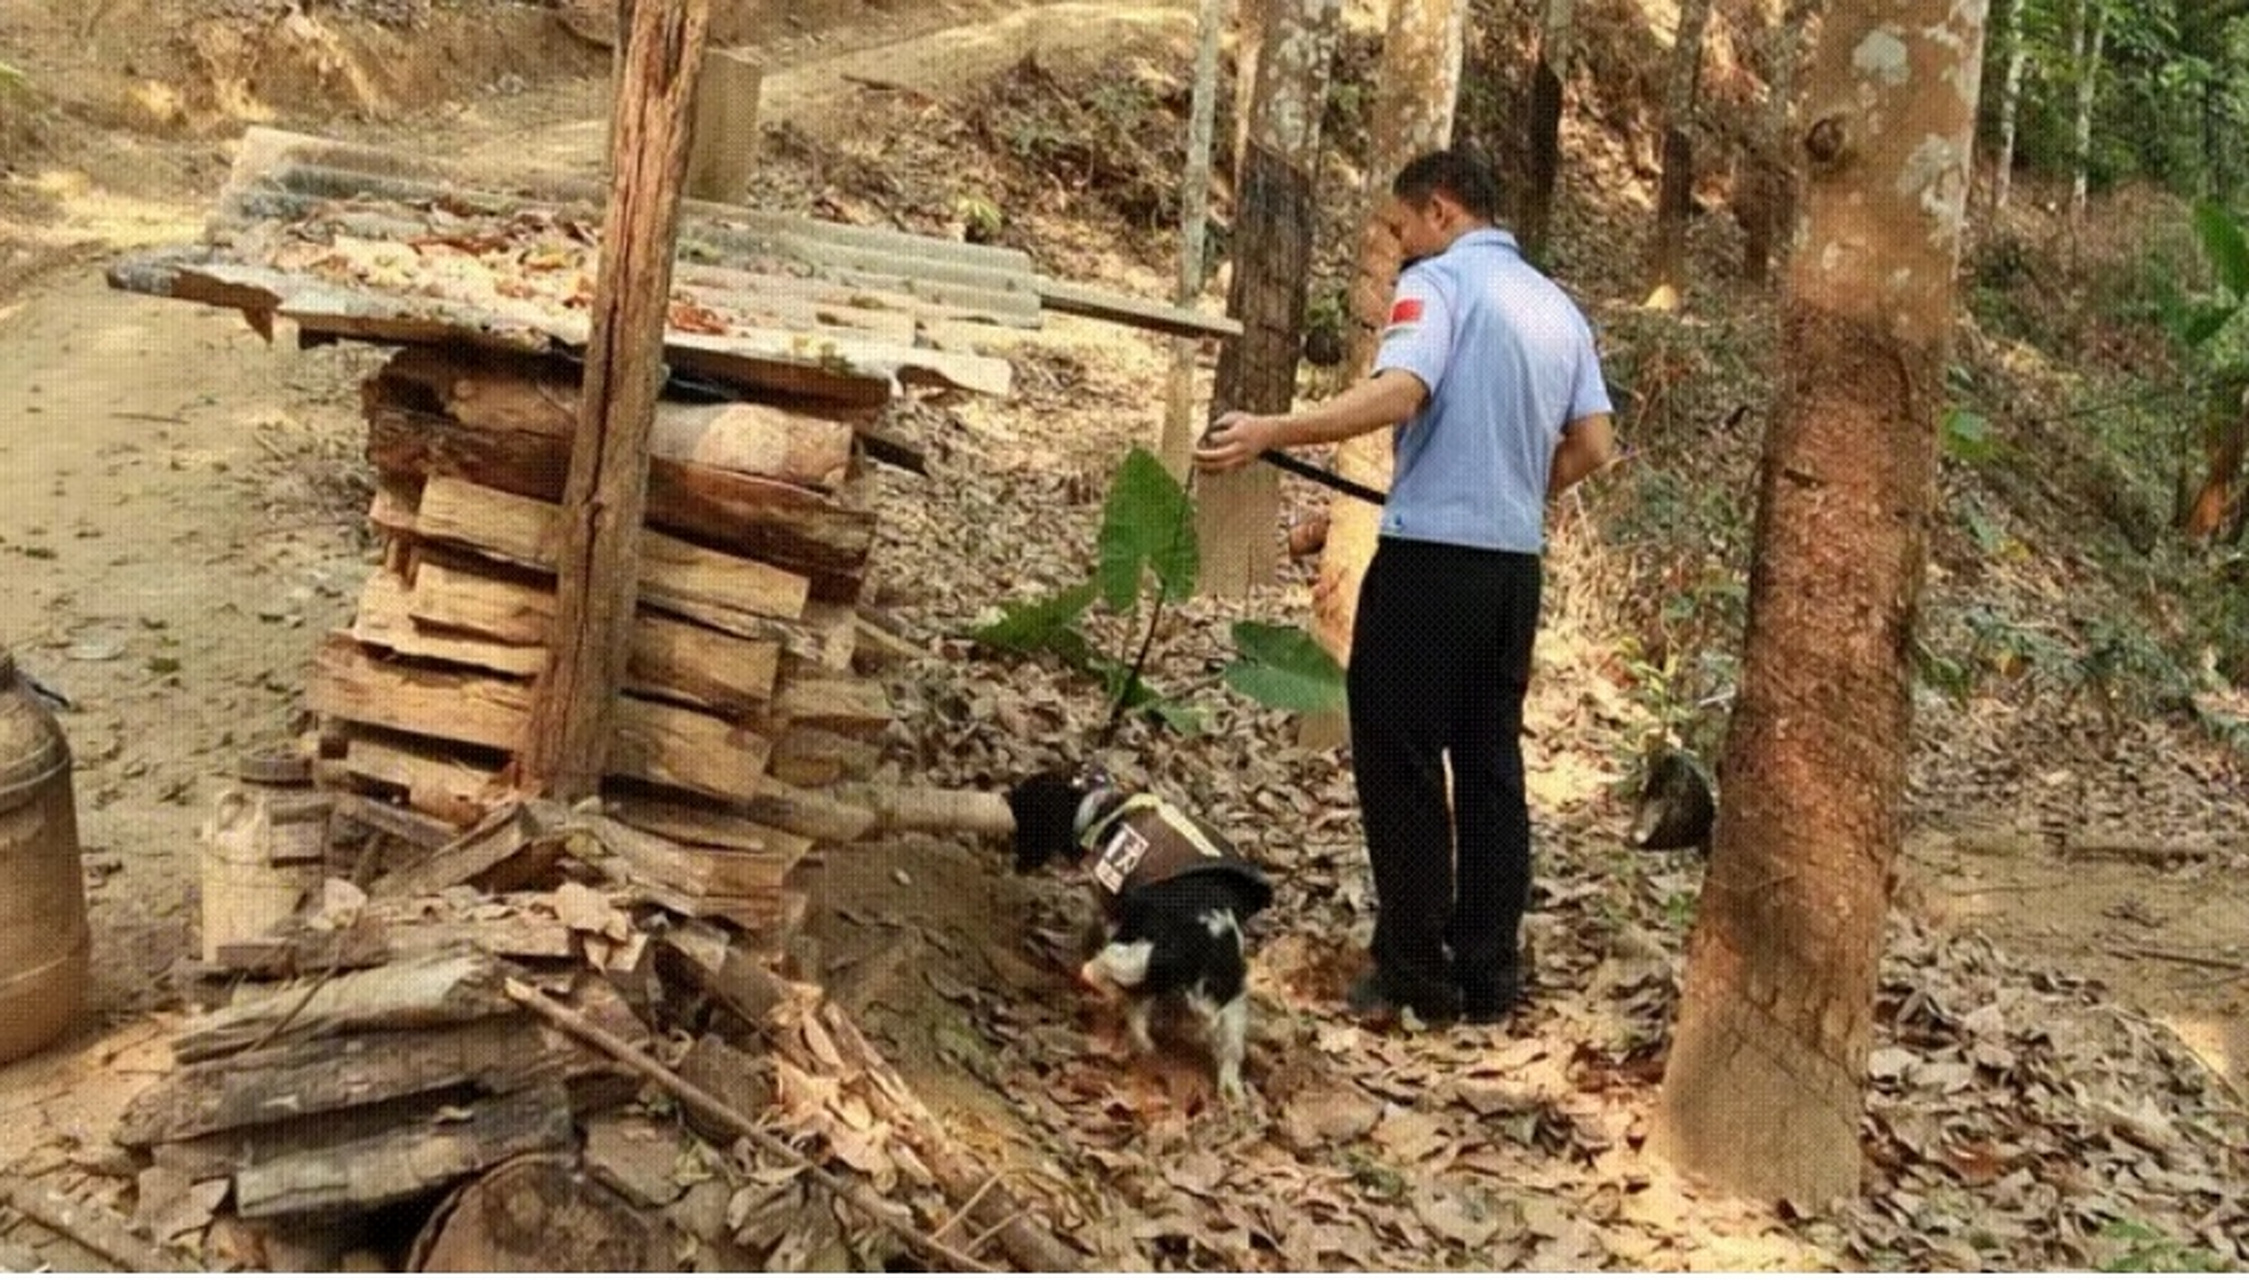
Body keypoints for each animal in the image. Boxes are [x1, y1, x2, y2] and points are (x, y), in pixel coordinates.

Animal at [1012, 764, 1277, 1102]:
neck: (1105, 811)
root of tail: (1207, 944)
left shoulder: (1113, 911)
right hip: (1232, 998)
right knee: (1226, 1050)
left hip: (1131, 957)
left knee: (1097, 976)